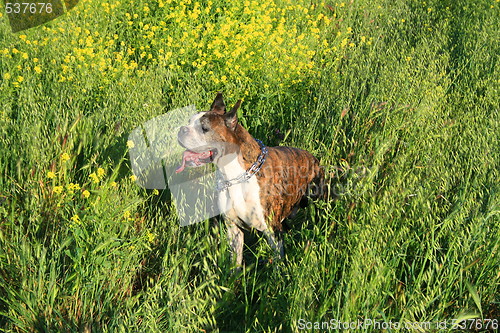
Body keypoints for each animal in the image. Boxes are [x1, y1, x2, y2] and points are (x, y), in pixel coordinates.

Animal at [176, 92, 324, 266]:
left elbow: (277, 261)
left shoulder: (272, 231)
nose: (181, 129)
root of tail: (313, 158)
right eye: (189, 122)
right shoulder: (234, 230)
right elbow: (236, 261)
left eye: (204, 128)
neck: (235, 176)